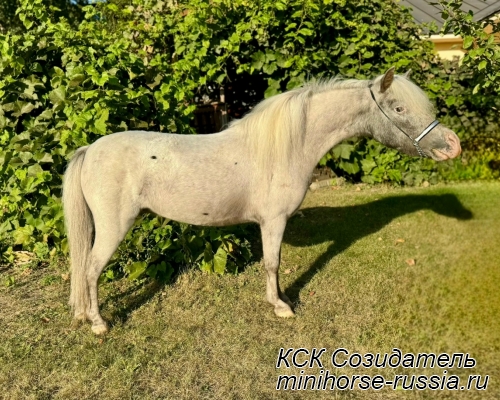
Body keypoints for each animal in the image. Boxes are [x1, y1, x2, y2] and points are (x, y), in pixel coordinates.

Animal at [63, 67, 462, 334]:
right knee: (90, 269)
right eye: (398, 108)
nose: (452, 145)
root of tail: (90, 150)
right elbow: (272, 263)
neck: (289, 147)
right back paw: (98, 324)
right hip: (113, 228)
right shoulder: (274, 221)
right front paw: (281, 307)